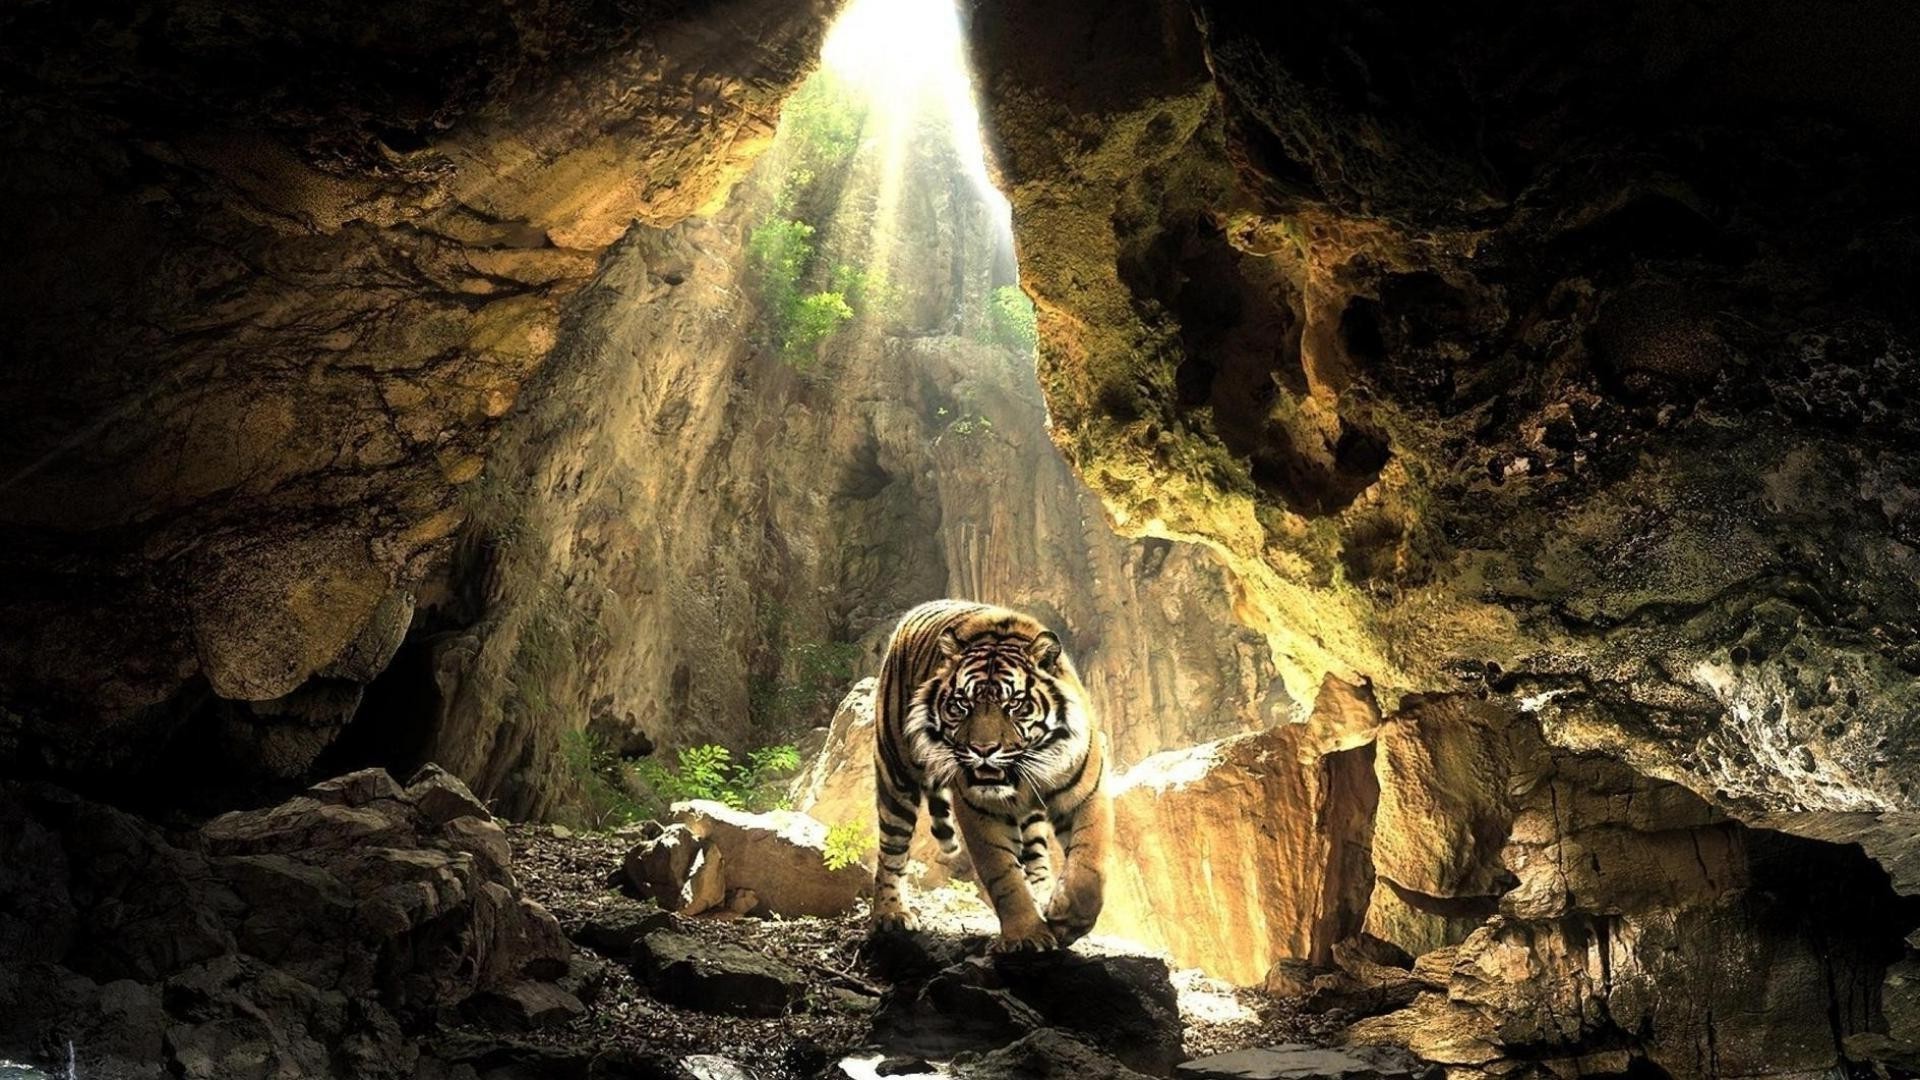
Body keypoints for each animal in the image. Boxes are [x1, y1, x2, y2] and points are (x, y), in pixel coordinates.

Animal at [871, 595, 1113, 949]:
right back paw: (891, 914)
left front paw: (1067, 919)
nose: (982, 750)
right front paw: (1027, 935)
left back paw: (1044, 894)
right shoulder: (981, 808)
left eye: (1014, 705)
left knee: (1036, 854)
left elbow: (1088, 862)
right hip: (896, 774)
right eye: (962, 704)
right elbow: (1003, 873)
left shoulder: (1087, 794)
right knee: (892, 849)